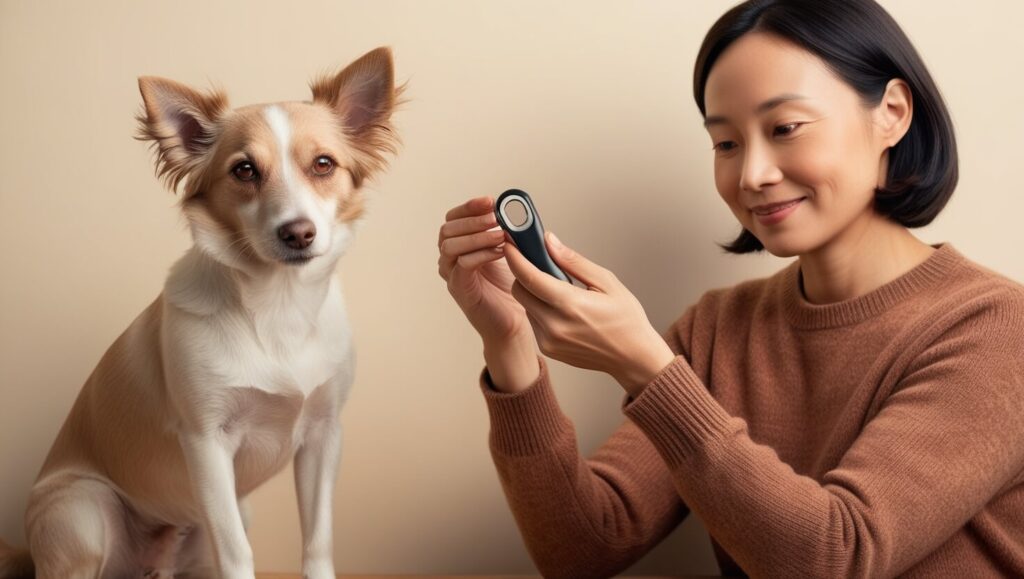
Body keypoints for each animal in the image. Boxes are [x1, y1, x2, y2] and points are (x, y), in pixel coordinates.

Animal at [0, 46, 405, 577]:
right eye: (244, 170)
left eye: (323, 164)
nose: (297, 232)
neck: (278, 306)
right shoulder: (207, 443)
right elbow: (236, 550)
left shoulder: (323, 436)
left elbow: (318, 540)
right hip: (82, 511)